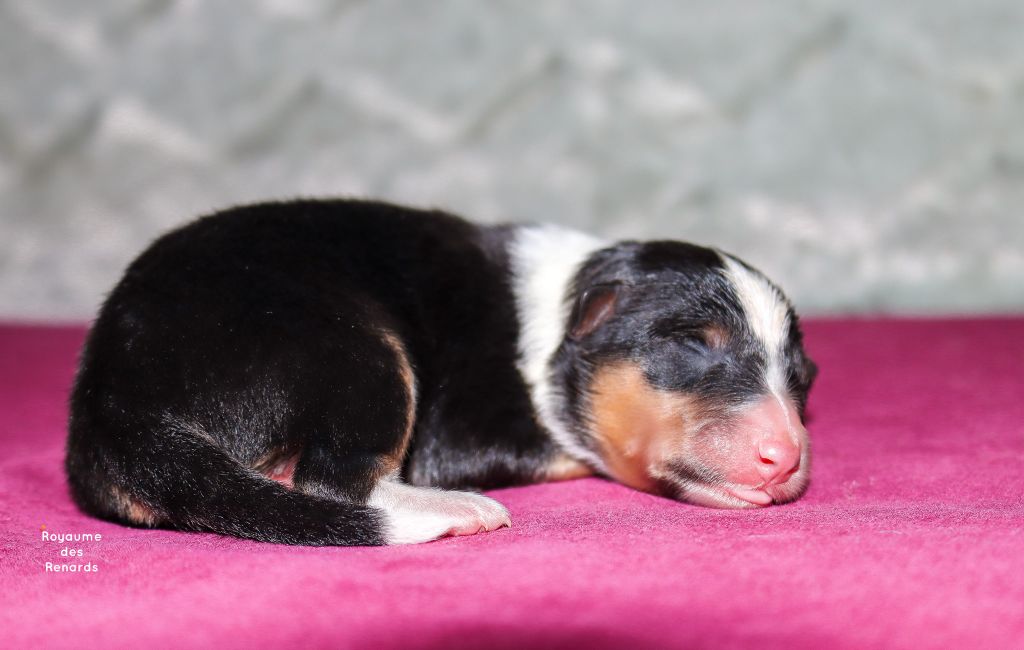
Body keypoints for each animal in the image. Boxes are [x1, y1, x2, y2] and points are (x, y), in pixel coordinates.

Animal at [66, 199, 817, 545]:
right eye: (692, 344)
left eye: (803, 378)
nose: (785, 457)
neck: (566, 304)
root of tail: (114, 403)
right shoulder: (466, 432)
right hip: (358, 355)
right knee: (333, 481)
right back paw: (453, 509)